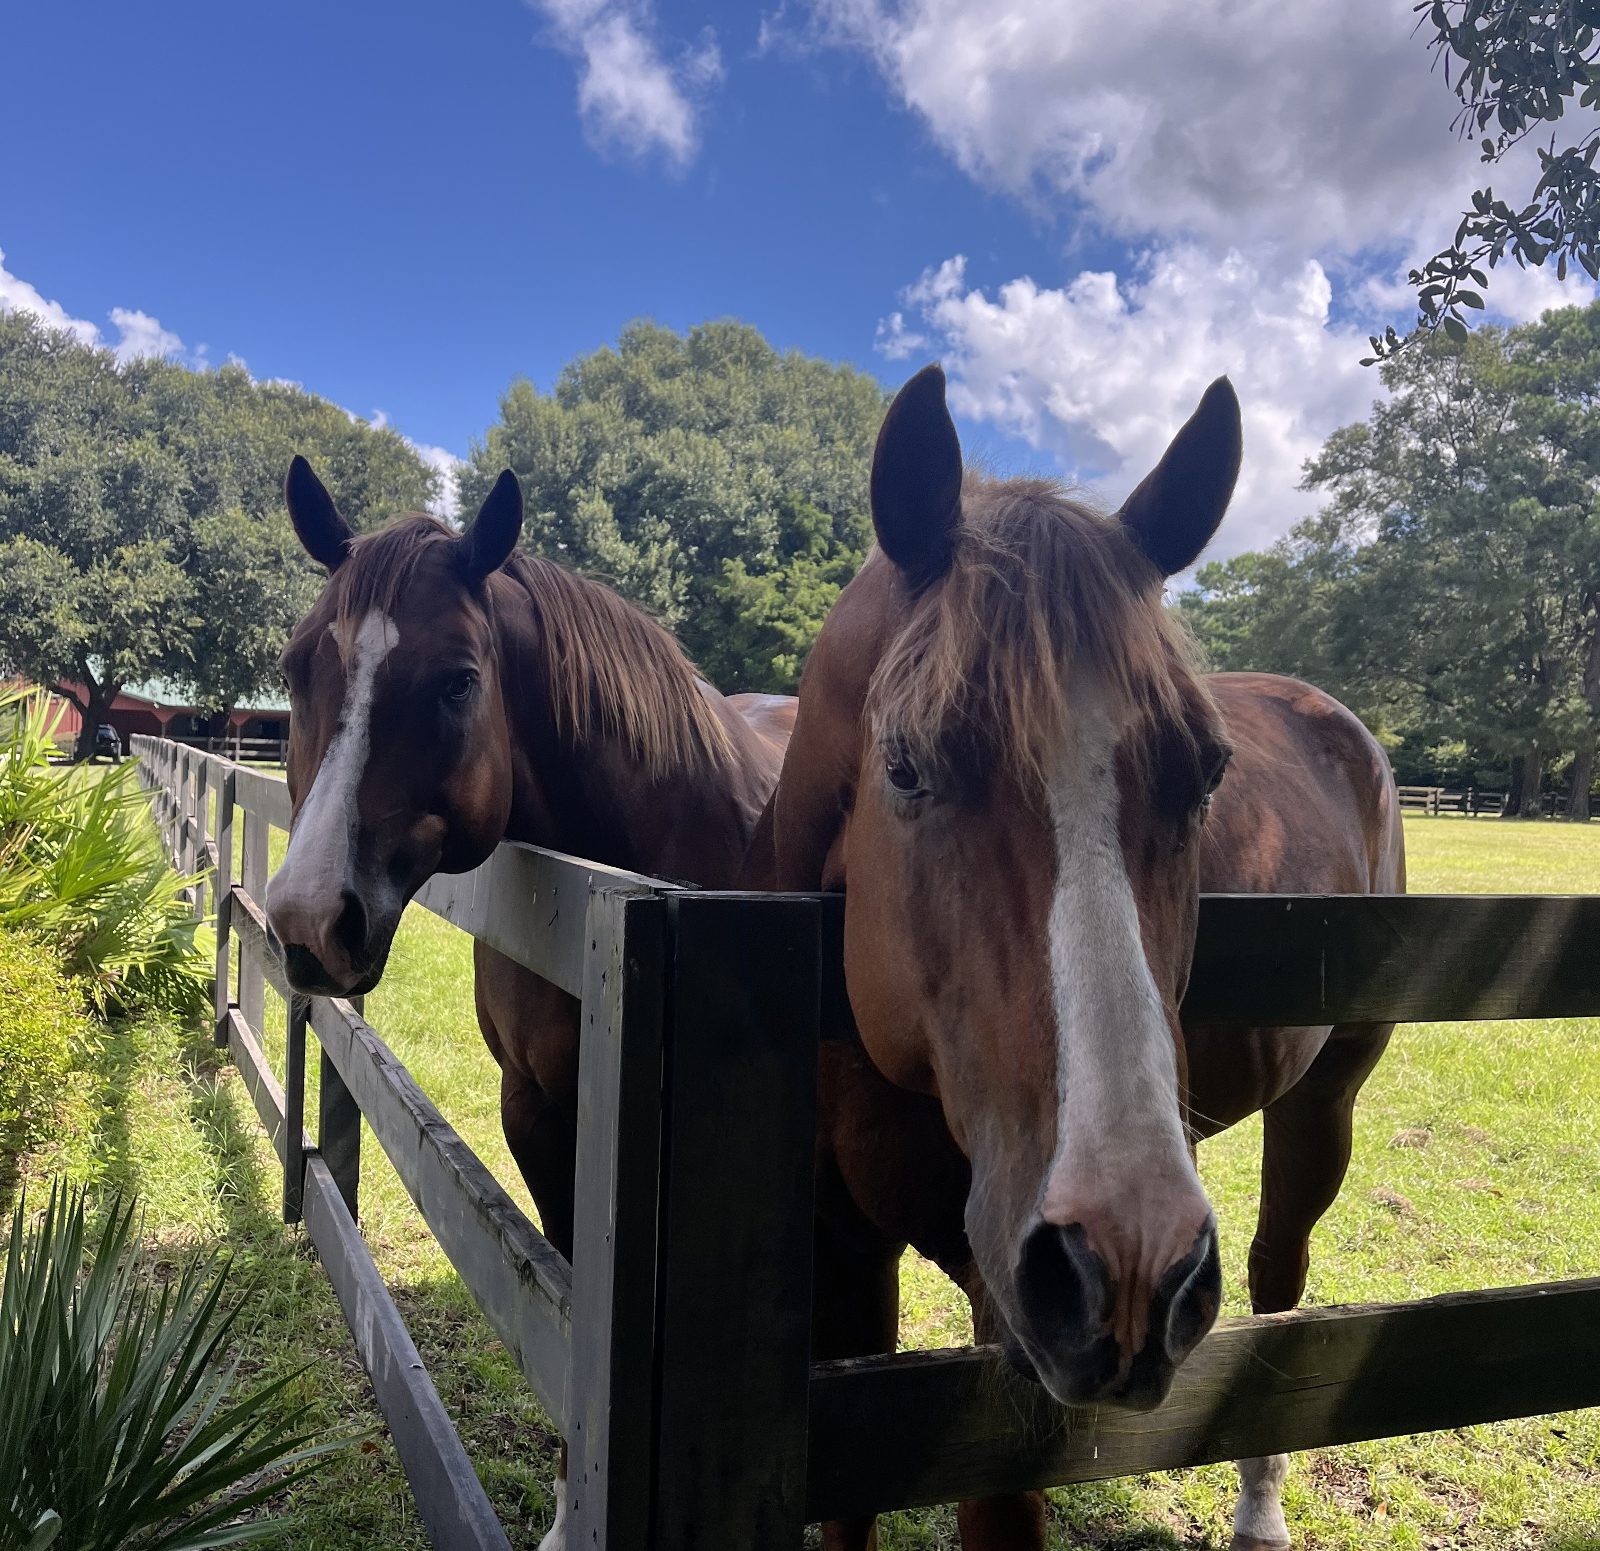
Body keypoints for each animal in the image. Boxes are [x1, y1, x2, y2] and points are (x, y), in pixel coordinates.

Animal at [748, 366, 1401, 1549]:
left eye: (1205, 775)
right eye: (904, 766)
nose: (1131, 1260)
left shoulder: (1000, 1327)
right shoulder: (843, 1259)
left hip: (1322, 1104)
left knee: (1278, 1281)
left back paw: (1259, 1510)